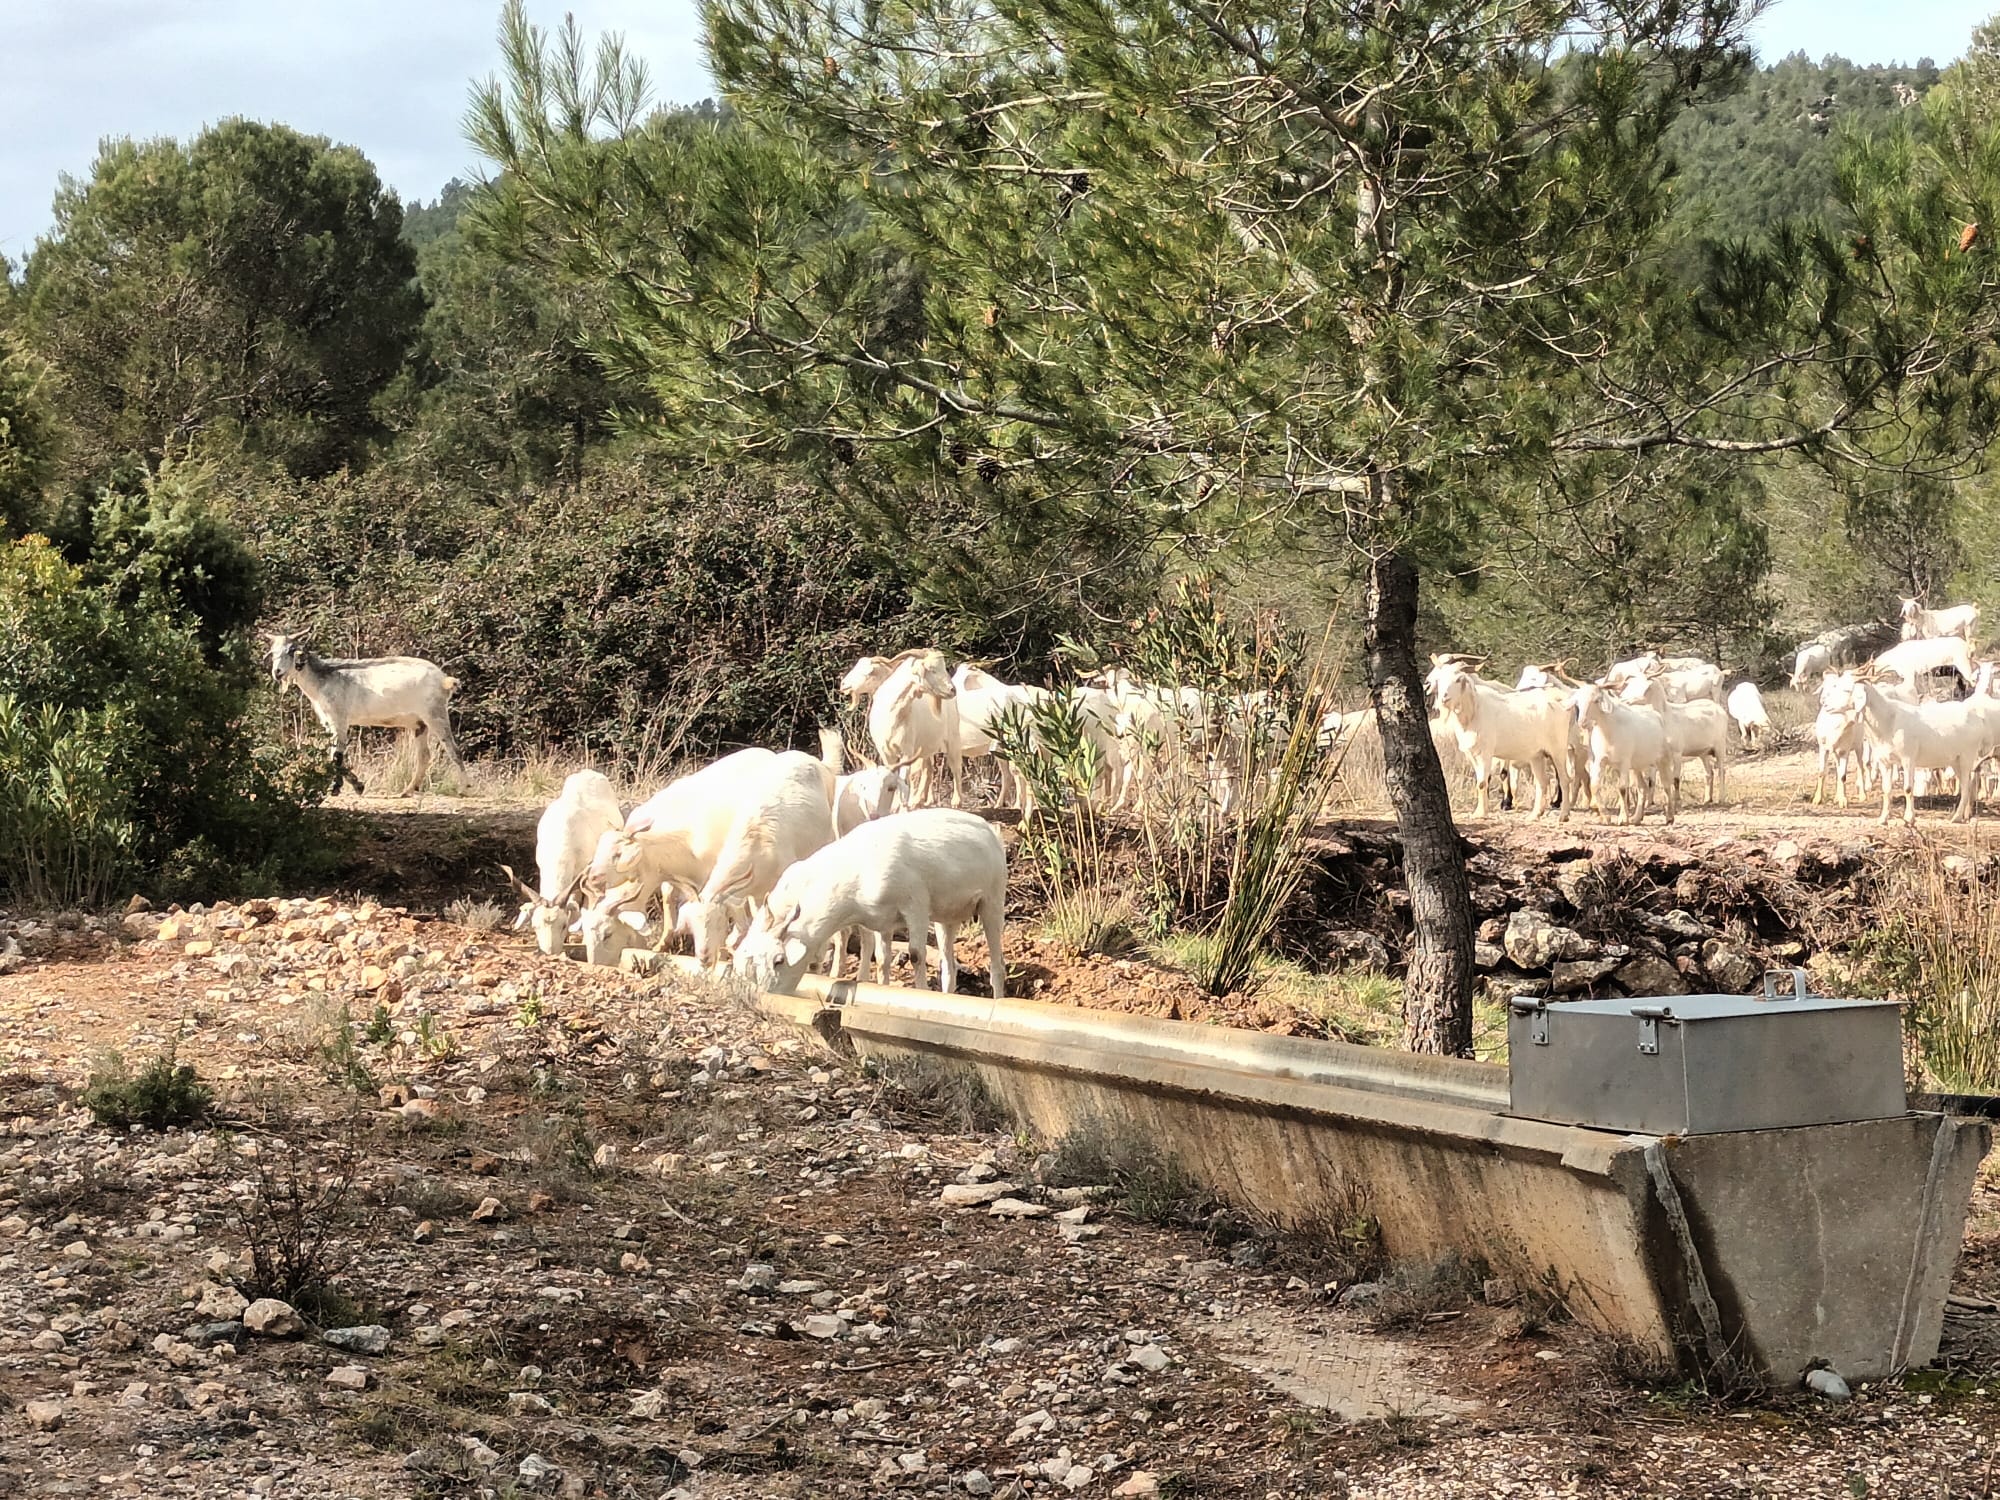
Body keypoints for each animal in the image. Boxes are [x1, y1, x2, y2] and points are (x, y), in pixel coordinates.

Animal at [266, 636, 460, 800]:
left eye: (291, 651)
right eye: (273, 653)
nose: (277, 672)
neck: (324, 678)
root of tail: (444, 680)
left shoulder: (339, 720)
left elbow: (337, 756)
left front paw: (341, 788)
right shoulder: (329, 723)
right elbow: (332, 754)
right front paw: (352, 786)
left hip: (435, 714)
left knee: (453, 749)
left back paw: (463, 788)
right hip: (419, 724)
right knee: (424, 756)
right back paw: (407, 791)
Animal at [736, 812, 1008, 1000]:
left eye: (779, 960)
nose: (767, 995)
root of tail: (990, 830)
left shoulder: (916, 904)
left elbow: (916, 955)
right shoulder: (882, 921)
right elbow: (883, 959)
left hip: (992, 900)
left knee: (997, 964)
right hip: (946, 917)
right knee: (948, 966)